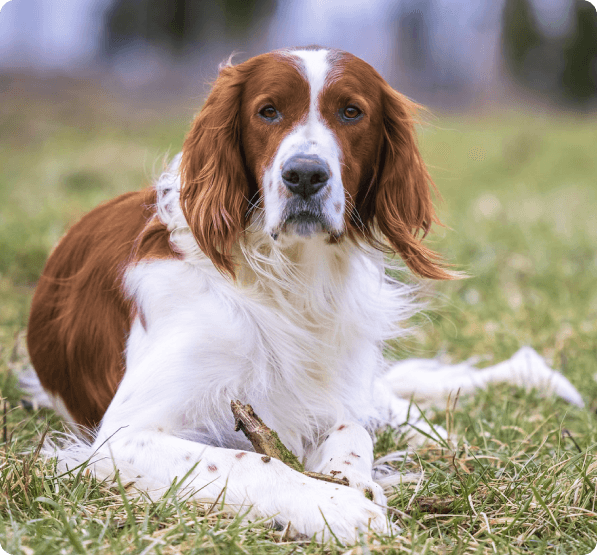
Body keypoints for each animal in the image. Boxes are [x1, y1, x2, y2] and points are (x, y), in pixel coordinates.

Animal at [25, 46, 580, 544]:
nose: (306, 175)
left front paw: (353, 483)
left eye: (351, 111)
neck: (287, 281)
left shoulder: (335, 395)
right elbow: (252, 460)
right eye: (267, 111)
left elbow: (351, 433)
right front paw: (336, 507)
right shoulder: (123, 437)